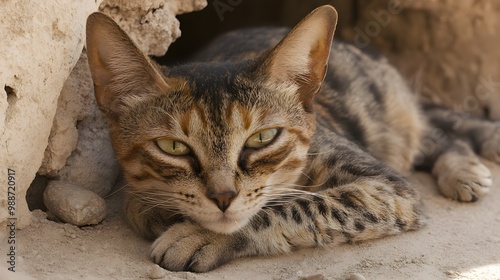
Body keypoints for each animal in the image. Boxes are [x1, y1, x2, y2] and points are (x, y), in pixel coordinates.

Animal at [86, 6, 500, 272]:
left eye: (263, 138)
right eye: (173, 147)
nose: (223, 196)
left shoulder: (389, 188)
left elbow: (298, 205)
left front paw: (199, 235)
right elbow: (138, 204)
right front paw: (160, 210)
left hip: (391, 118)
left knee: (441, 131)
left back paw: (466, 171)